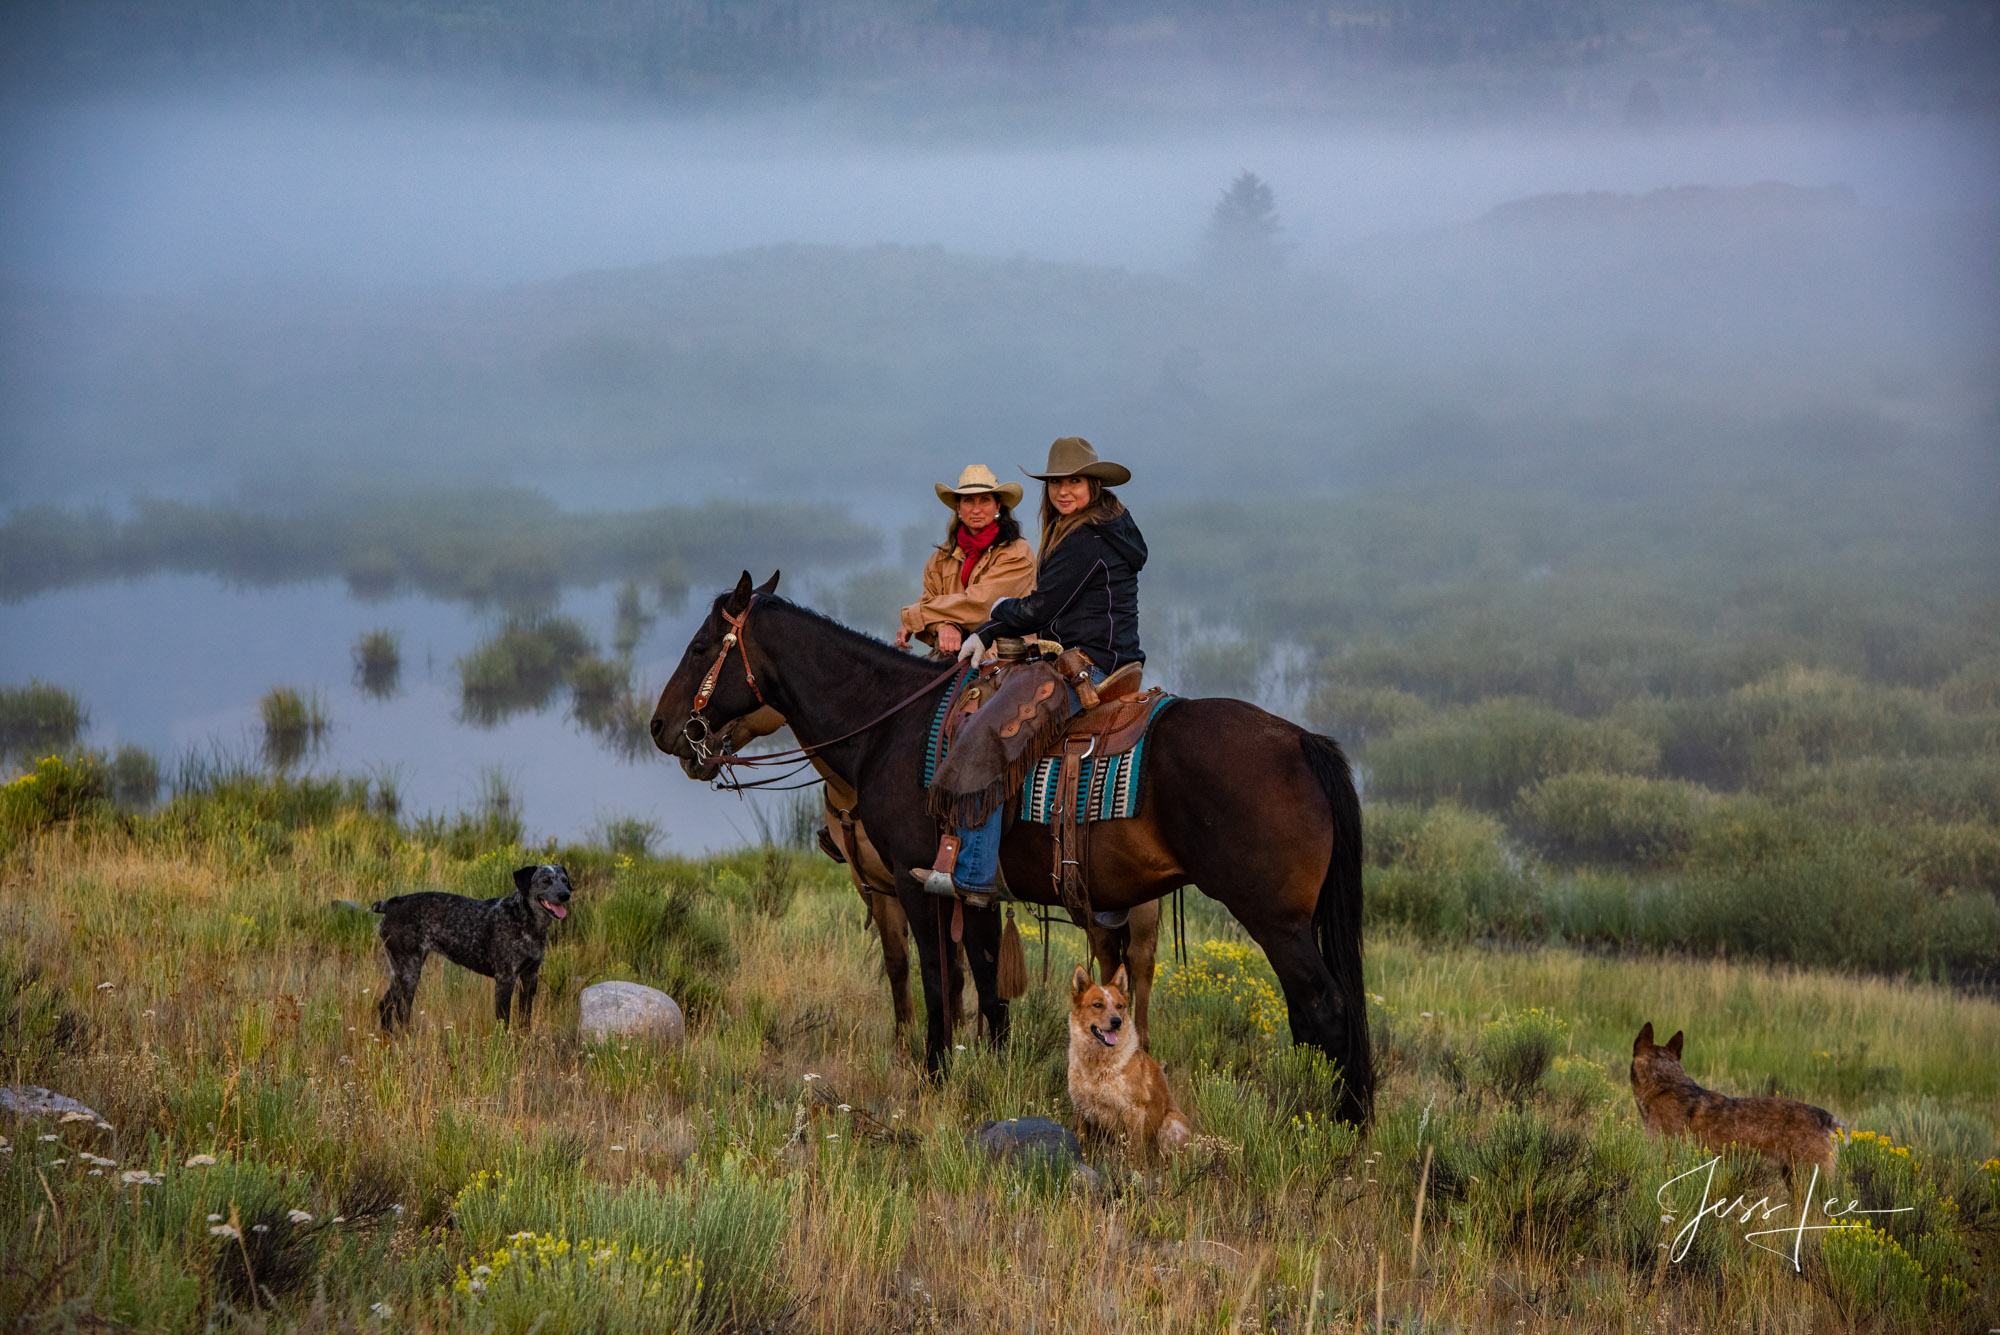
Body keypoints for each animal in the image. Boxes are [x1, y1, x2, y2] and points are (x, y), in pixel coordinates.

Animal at [372, 867, 576, 1031]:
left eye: (565, 880)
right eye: (546, 880)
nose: (565, 894)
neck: (527, 921)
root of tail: (390, 903)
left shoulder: (530, 977)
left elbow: (525, 1021)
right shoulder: (505, 979)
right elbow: (504, 1022)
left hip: (399, 971)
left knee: (385, 1005)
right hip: (409, 972)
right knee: (401, 1012)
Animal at [656, 575, 1376, 1127]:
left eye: (699, 646)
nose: (662, 727)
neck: (891, 725)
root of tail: (1303, 741)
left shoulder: (916, 883)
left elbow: (939, 979)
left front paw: (934, 1078)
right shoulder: (972, 891)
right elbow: (985, 981)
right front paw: (992, 1074)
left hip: (1274, 919)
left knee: (1324, 1006)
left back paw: (1338, 1123)